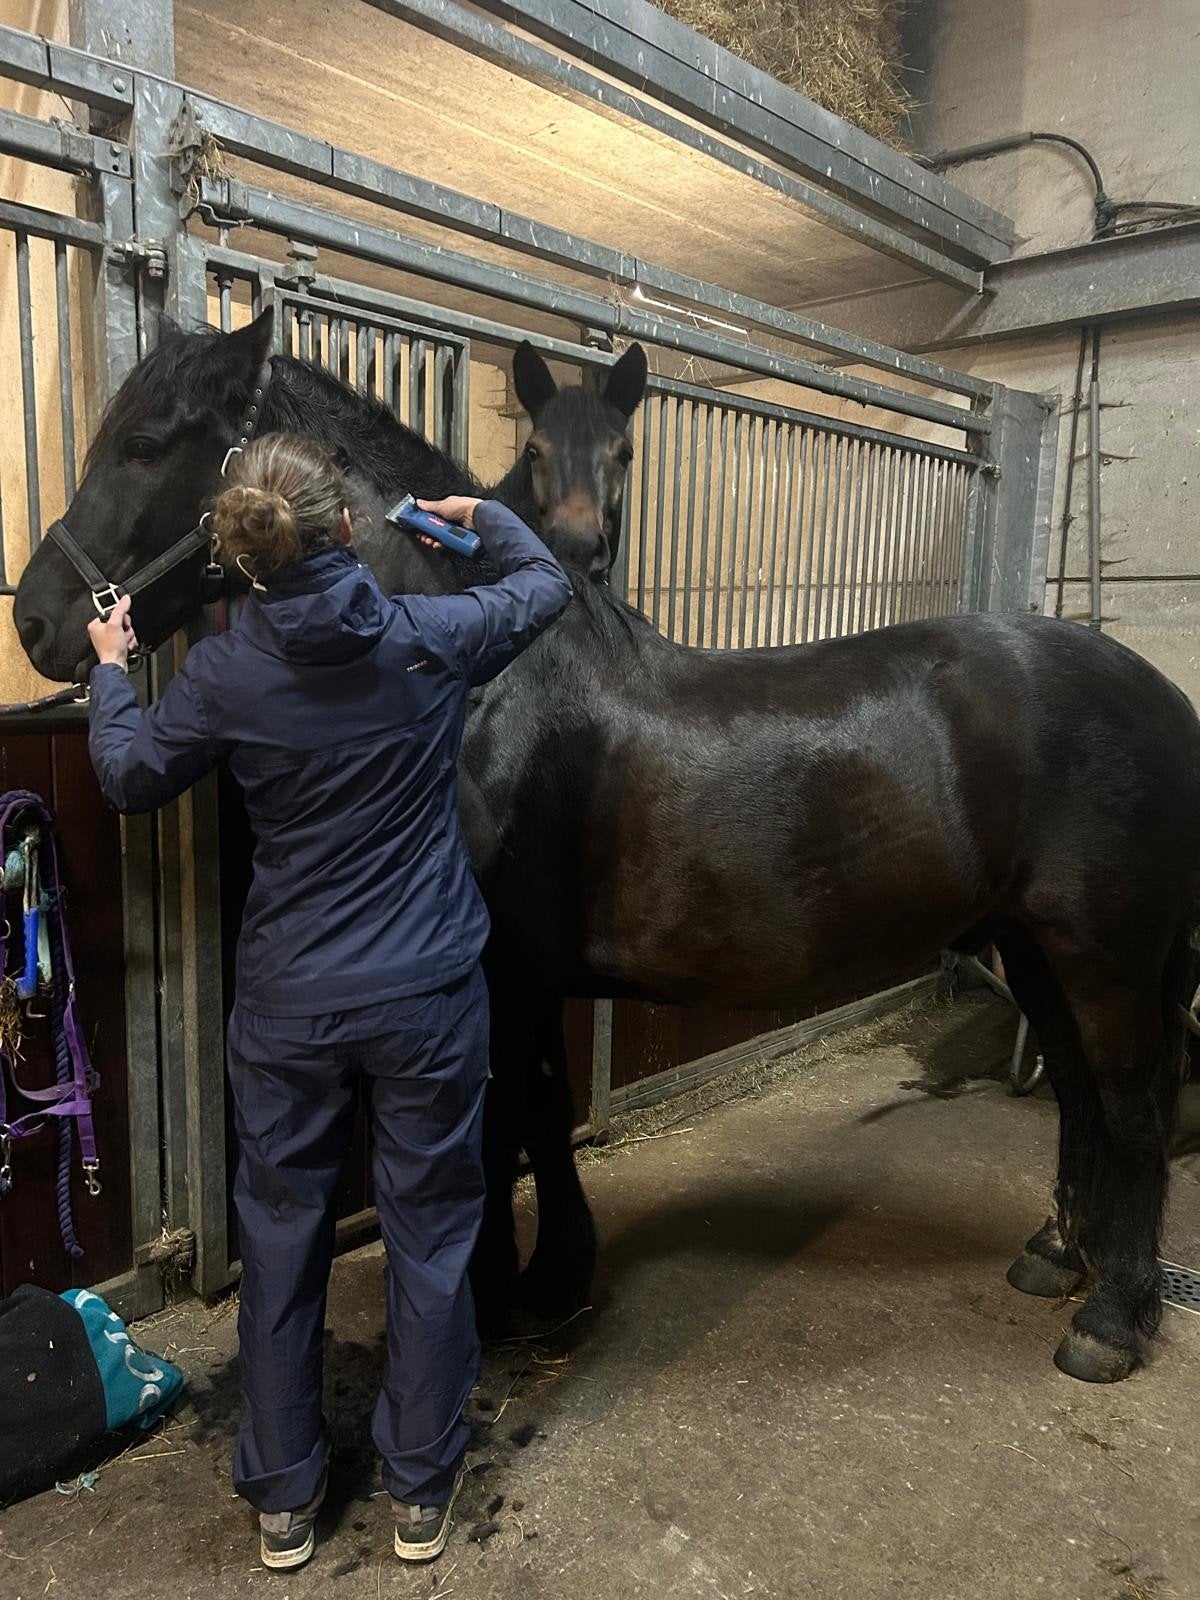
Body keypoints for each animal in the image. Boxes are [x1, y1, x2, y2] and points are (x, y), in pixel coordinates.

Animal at [14, 308, 1200, 1385]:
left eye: (144, 443)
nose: (35, 620)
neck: (484, 676)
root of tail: (1161, 695)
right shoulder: (533, 974)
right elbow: (542, 1114)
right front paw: (554, 1282)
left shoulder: (496, 975)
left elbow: (496, 1132)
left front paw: (492, 1310)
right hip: (1033, 945)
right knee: (1081, 1094)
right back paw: (1056, 1257)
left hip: (1104, 956)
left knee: (1135, 1106)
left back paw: (1112, 1319)